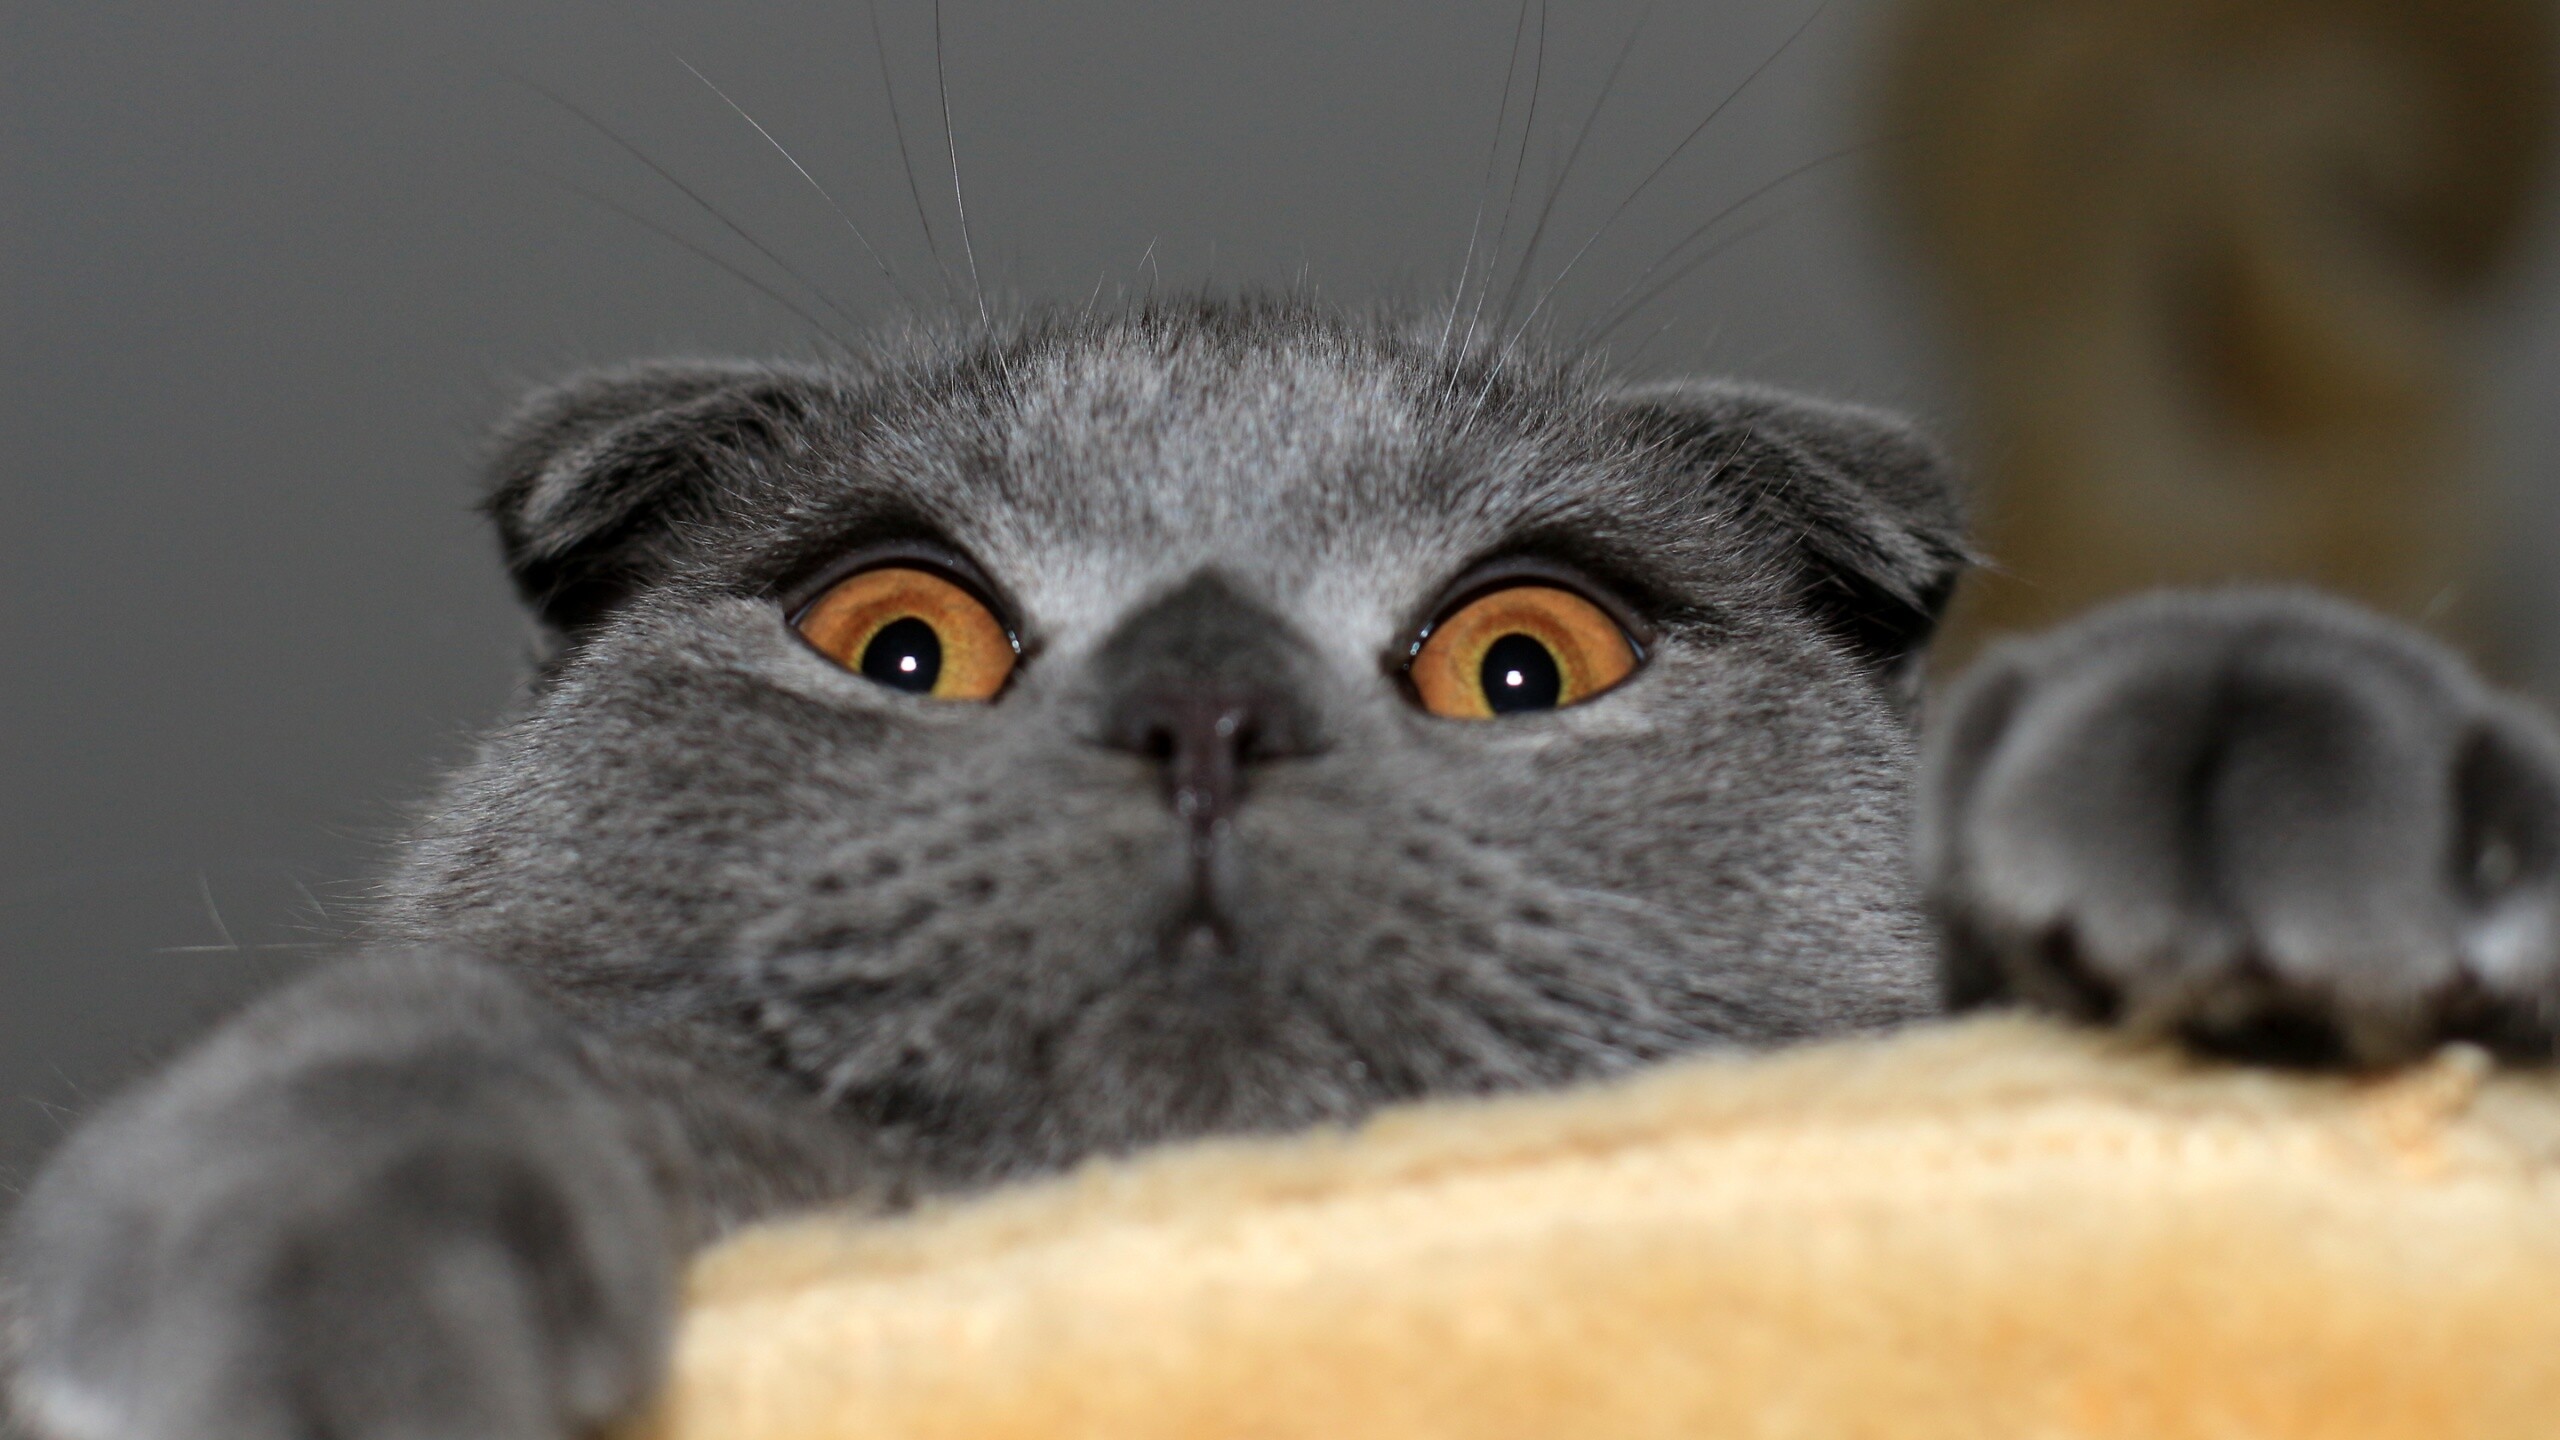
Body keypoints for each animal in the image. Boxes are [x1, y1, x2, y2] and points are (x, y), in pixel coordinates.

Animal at [15, 294, 2560, 1434]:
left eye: (1525, 659)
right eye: (898, 637)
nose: (1206, 697)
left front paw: (2266, 750)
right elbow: (428, 1012)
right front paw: (278, 1288)